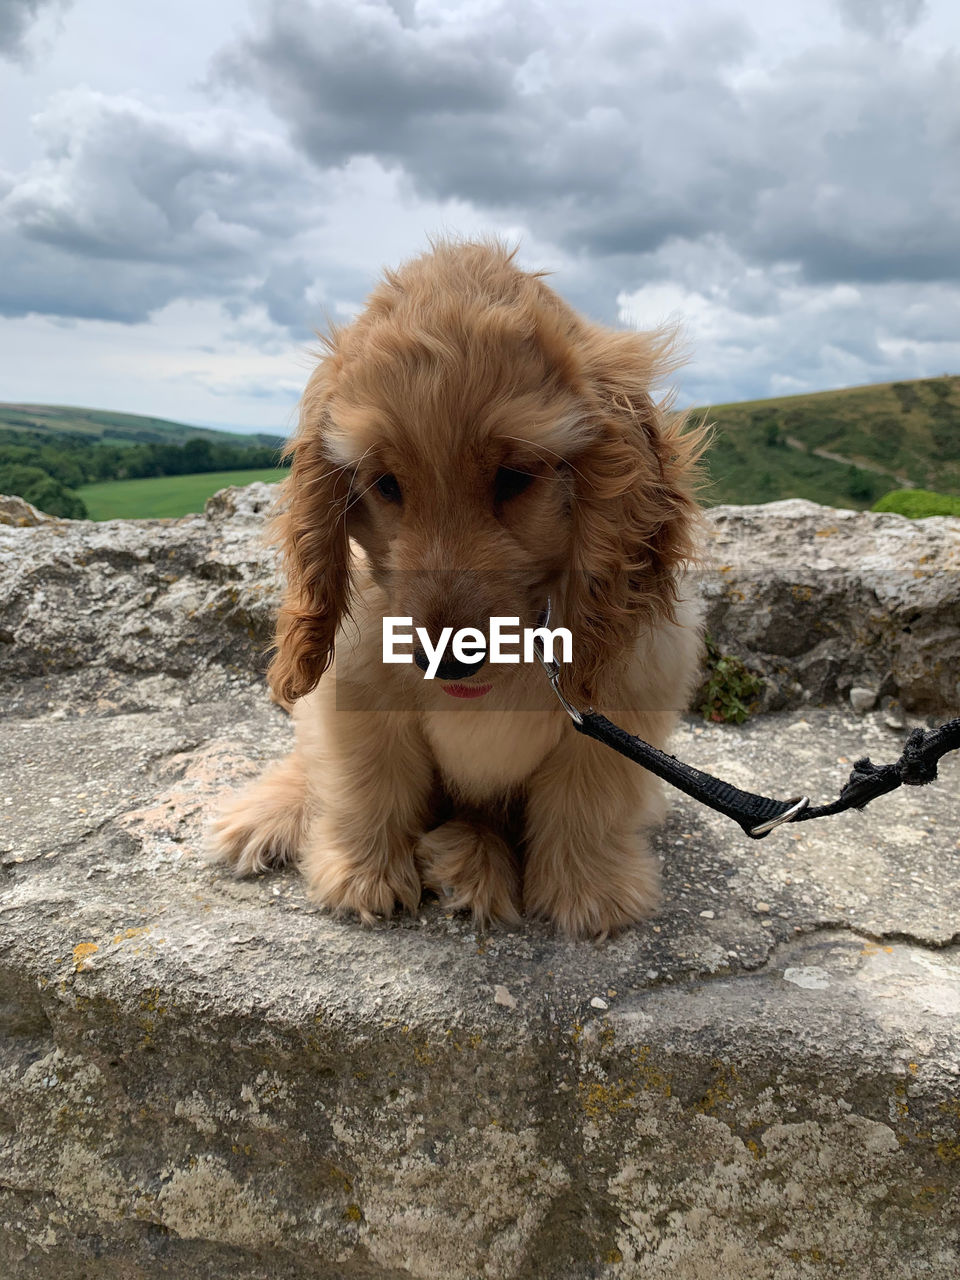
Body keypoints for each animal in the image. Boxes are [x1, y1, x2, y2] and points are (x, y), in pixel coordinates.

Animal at [208, 240, 706, 942]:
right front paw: (362, 875)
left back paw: (470, 860)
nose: (445, 660)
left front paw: (590, 892)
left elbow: (589, 799)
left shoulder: (625, 702)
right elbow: (368, 785)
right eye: (387, 483)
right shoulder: (357, 696)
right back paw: (277, 813)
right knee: (312, 768)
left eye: (516, 477)